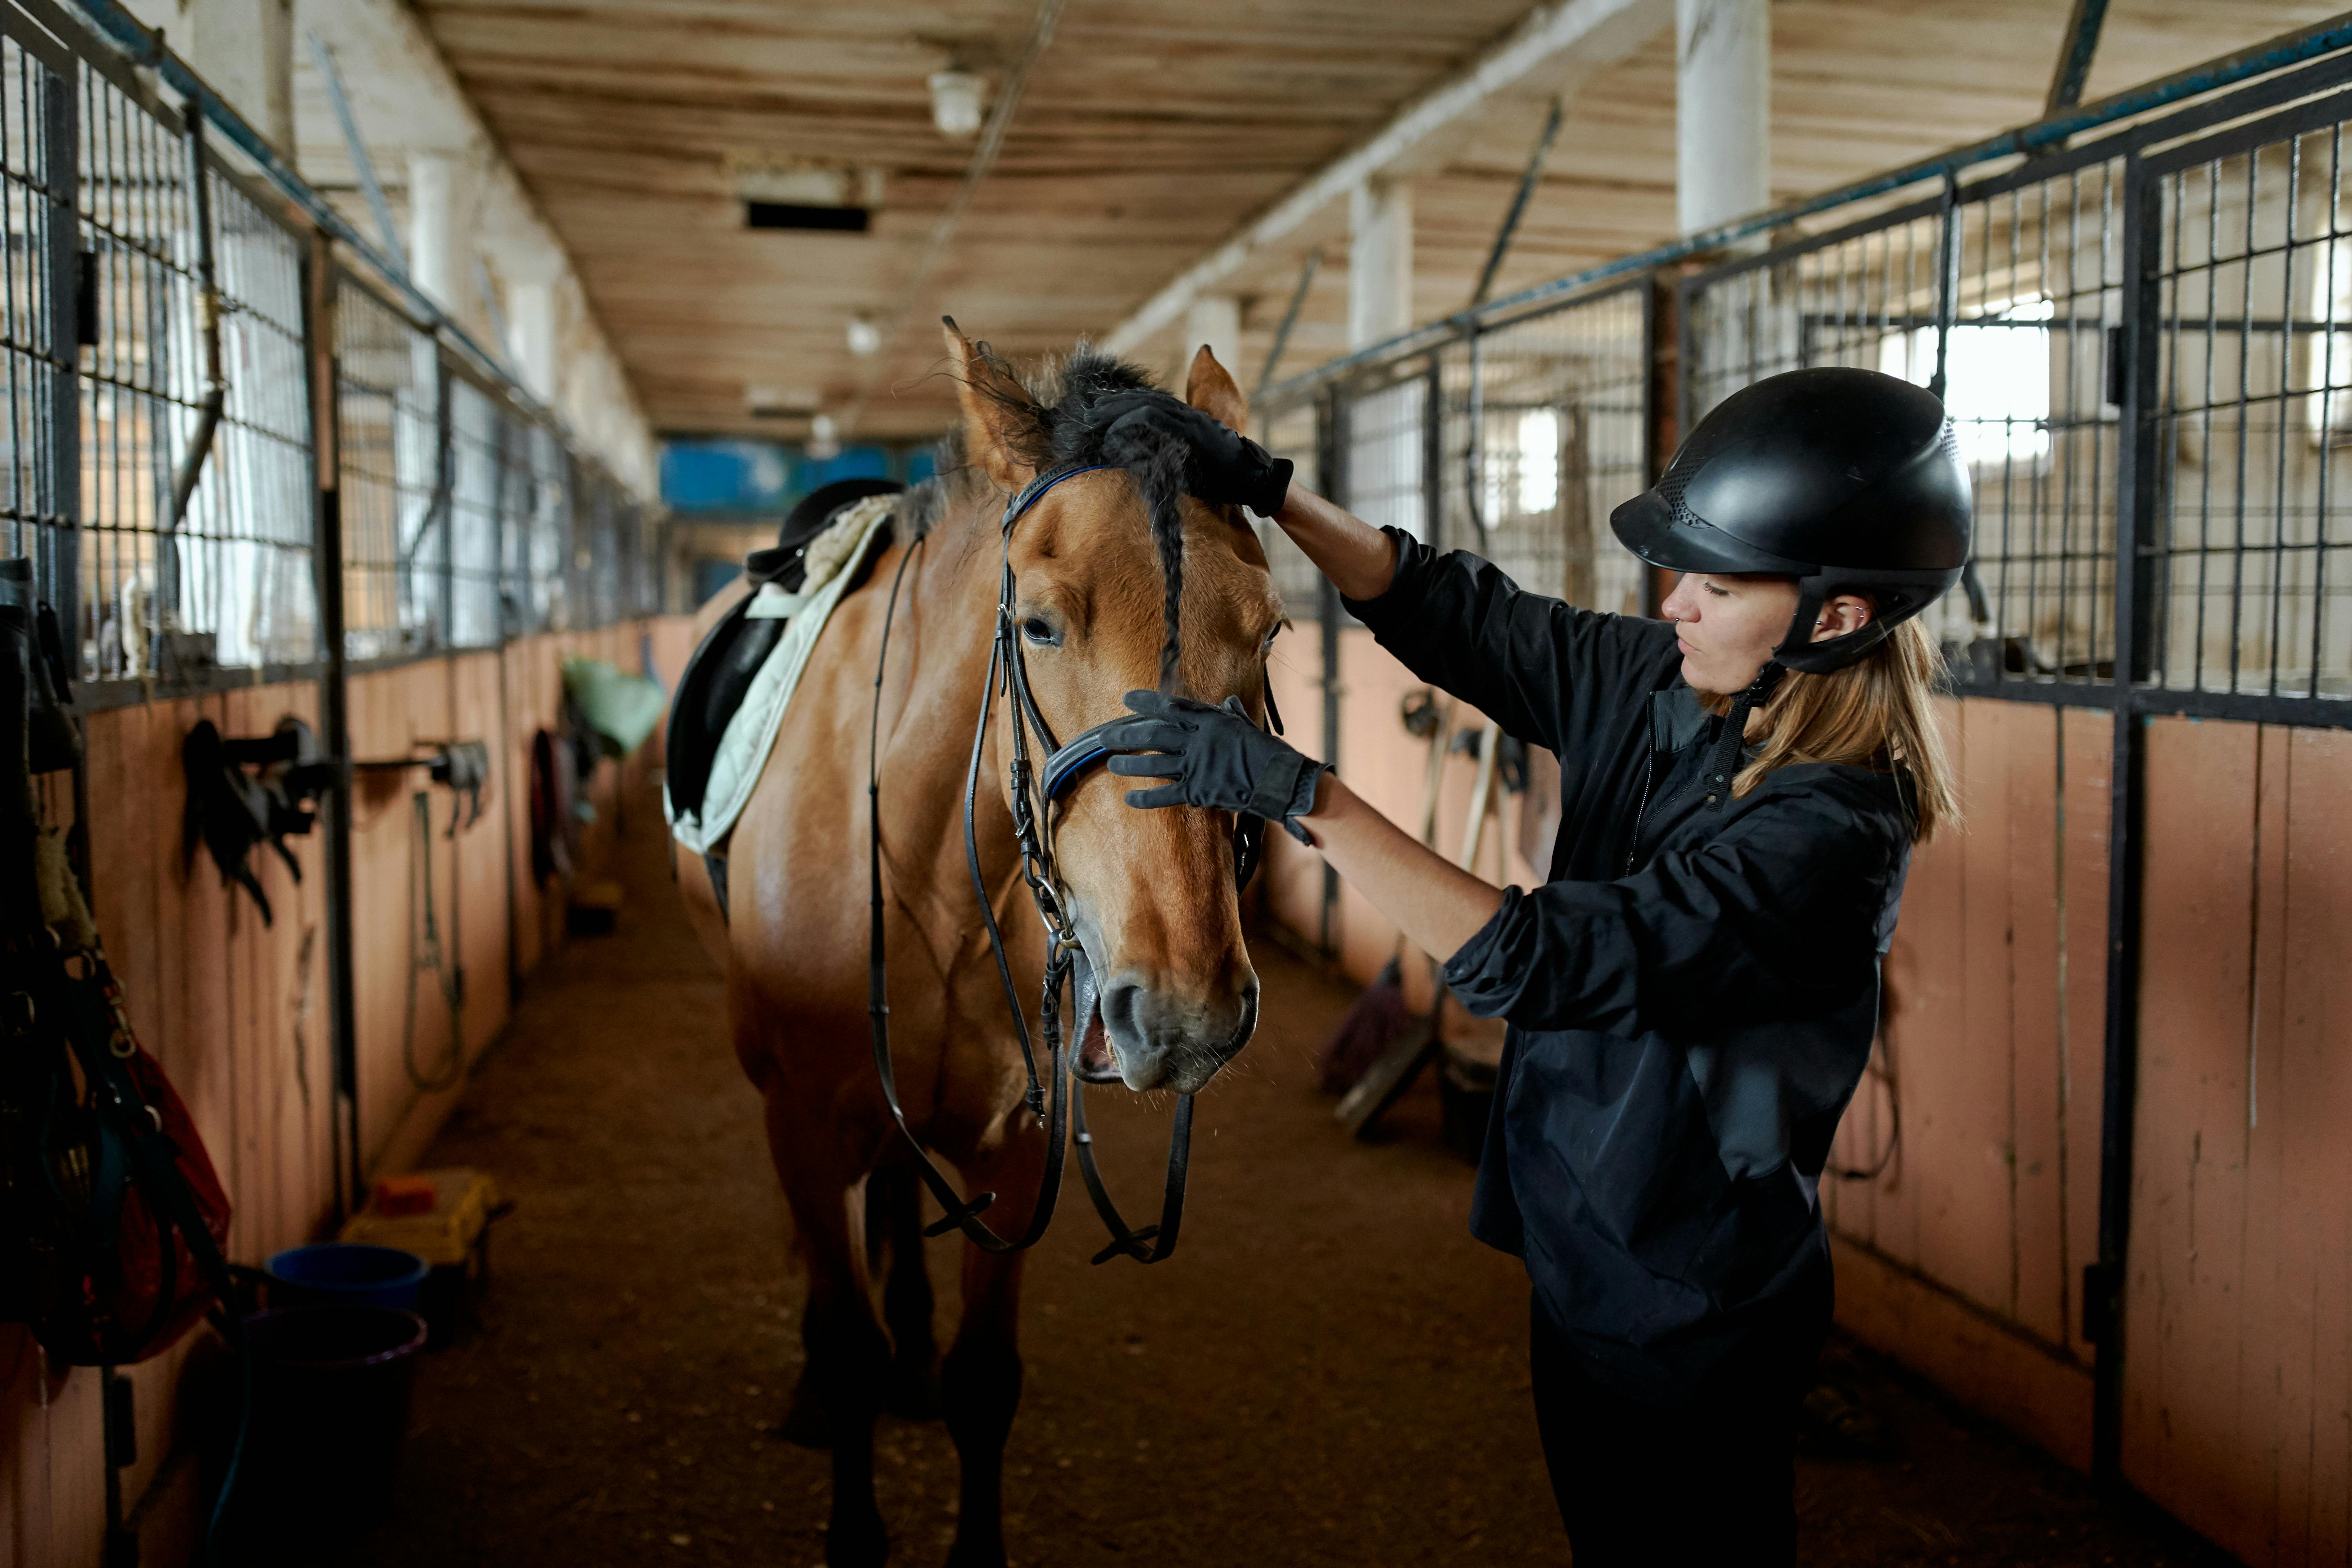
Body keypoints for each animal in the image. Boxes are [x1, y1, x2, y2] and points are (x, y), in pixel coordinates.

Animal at [673, 322, 1279, 1568]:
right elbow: (844, 1341)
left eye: (1270, 632)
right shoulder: (802, 1123)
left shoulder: (1016, 1142)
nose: (1187, 1007)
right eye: (1041, 622)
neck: (931, 869)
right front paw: (853, 1507)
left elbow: (984, 1381)